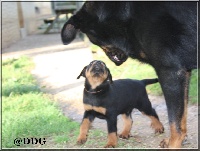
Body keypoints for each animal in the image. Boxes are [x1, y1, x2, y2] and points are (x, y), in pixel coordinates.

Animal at [61, 1, 197, 148]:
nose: (99, 62)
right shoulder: (183, 73)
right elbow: (181, 116)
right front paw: (177, 139)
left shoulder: (170, 72)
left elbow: (174, 120)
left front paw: (173, 143)